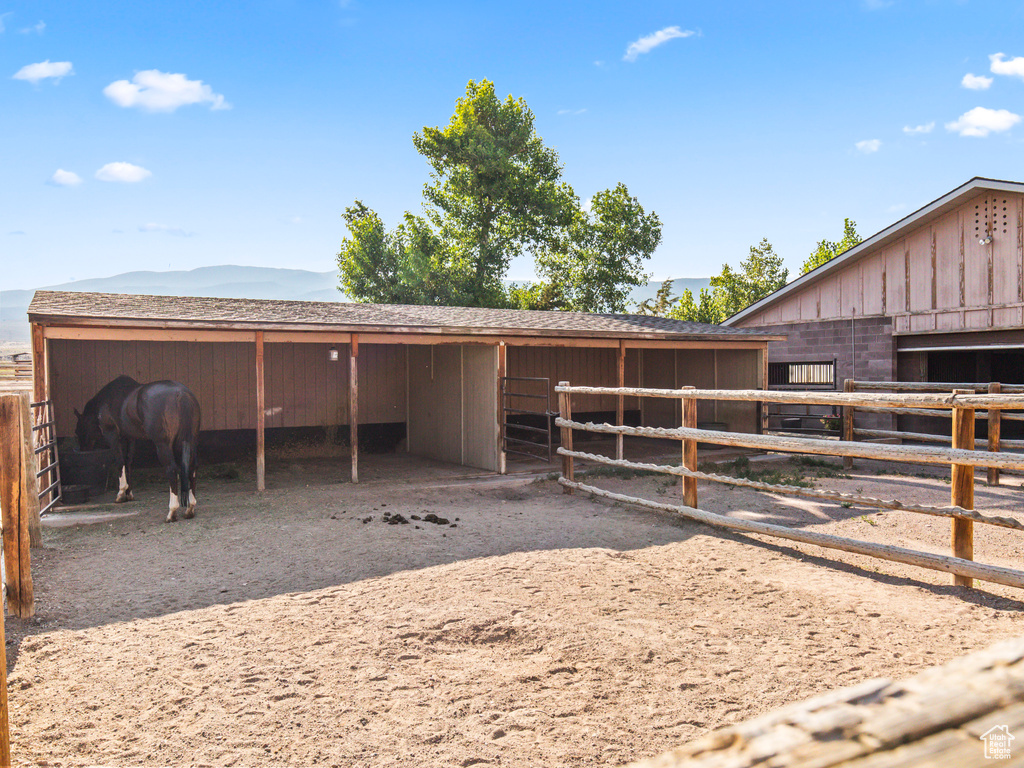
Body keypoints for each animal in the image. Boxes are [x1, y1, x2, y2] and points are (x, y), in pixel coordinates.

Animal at [75, 376, 201, 524]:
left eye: (77, 431)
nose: (83, 450)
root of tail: (181, 394)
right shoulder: (131, 438)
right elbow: (128, 462)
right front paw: (129, 493)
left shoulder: (112, 435)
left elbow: (119, 462)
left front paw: (121, 494)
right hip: (189, 441)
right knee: (192, 468)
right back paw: (190, 509)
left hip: (163, 445)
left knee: (172, 469)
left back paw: (172, 512)